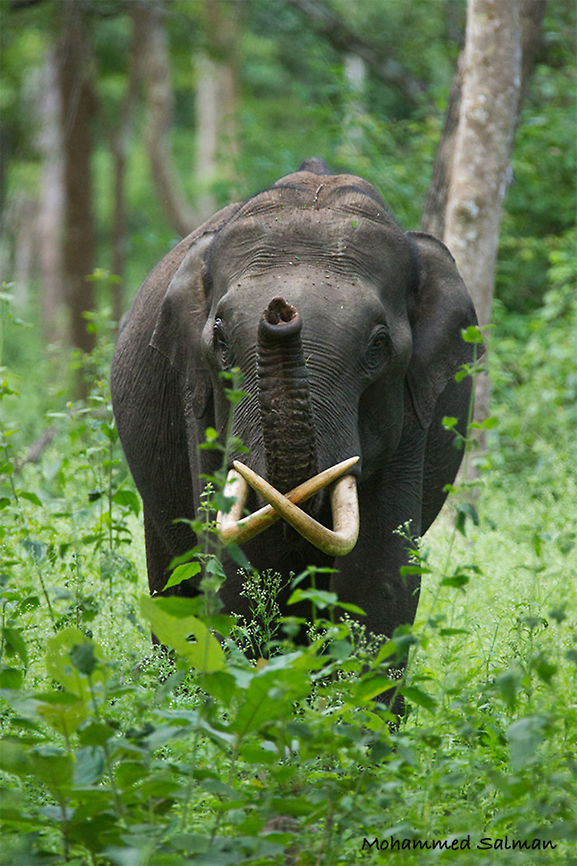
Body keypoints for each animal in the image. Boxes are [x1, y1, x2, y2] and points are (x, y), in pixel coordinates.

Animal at [111, 158, 480, 668]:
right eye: (219, 338)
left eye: (378, 346)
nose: (281, 311)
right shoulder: (197, 401)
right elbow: (236, 565)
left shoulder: (412, 413)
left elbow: (379, 577)